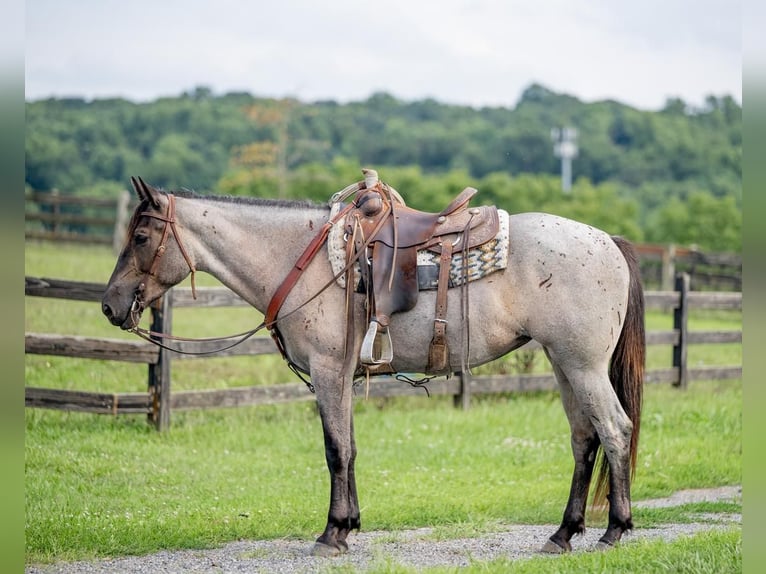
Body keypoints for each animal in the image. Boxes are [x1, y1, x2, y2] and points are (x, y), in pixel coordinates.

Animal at [99, 174, 644, 560]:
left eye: (141, 235)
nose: (109, 305)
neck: (300, 261)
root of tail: (610, 242)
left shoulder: (327, 371)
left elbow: (336, 449)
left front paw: (331, 533)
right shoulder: (341, 376)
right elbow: (352, 447)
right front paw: (351, 525)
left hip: (583, 365)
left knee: (615, 430)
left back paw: (614, 531)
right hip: (563, 363)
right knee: (584, 439)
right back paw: (563, 533)